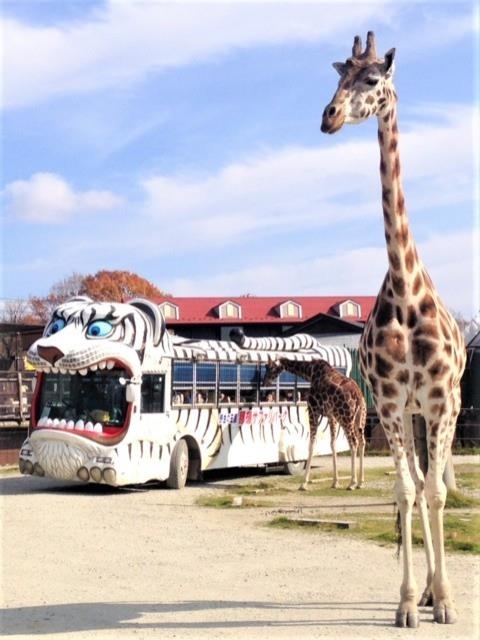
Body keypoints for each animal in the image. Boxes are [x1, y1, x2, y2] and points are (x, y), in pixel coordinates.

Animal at [262, 360, 364, 490]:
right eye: (265, 366)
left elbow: (311, 445)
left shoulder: (313, 409)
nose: (264, 382)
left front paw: (303, 483)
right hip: (358, 419)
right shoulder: (331, 416)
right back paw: (360, 482)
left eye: (271, 368)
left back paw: (352, 483)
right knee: (361, 441)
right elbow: (333, 444)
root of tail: (358, 396)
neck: (310, 372)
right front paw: (335, 482)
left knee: (354, 442)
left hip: (345, 417)